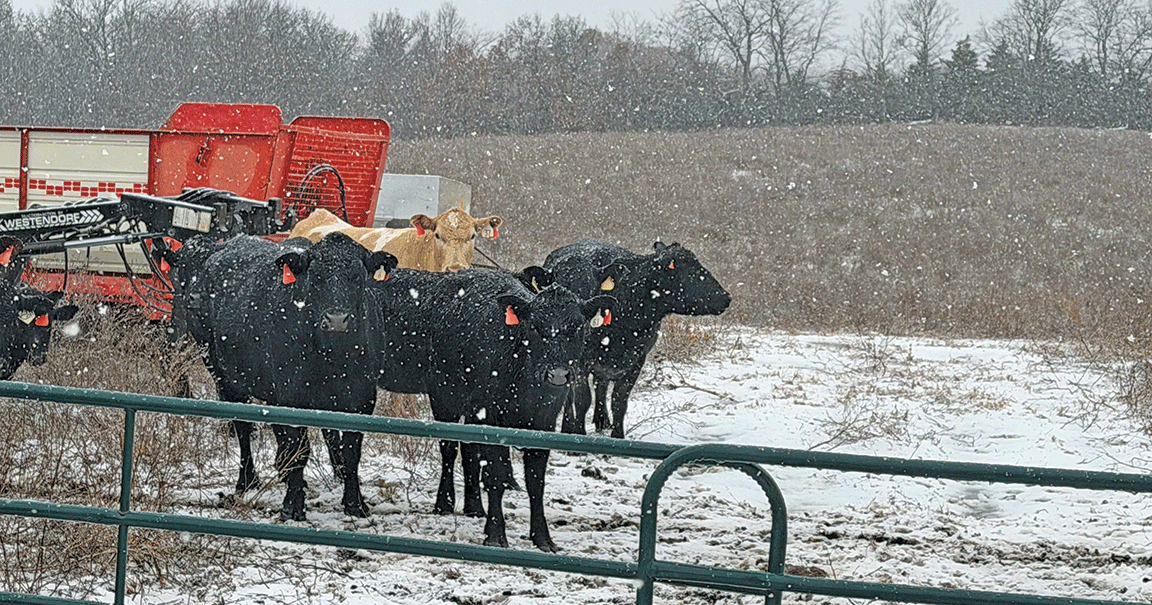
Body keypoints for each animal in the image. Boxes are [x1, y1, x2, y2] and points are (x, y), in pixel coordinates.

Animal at [160, 232, 397, 521]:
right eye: (315, 278)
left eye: (358, 277)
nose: (337, 319)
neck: (332, 352)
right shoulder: (290, 395)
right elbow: (298, 450)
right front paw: (292, 506)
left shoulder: (362, 398)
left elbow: (351, 450)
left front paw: (355, 503)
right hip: (224, 375)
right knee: (243, 428)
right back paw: (247, 480)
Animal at [370, 268, 612, 552]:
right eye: (535, 326)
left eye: (577, 327)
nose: (558, 374)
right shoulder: (491, 418)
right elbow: (496, 474)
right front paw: (496, 533)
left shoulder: (544, 423)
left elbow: (535, 481)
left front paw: (542, 537)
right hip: (444, 397)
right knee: (449, 448)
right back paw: (445, 503)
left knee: (467, 450)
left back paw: (474, 506)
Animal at [545, 239, 731, 439]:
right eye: (691, 271)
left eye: (697, 267)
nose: (726, 297)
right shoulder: (580, 362)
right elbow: (582, 399)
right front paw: (578, 433)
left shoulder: (636, 360)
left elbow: (619, 401)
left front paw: (618, 435)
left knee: (600, 385)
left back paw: (602, 420)